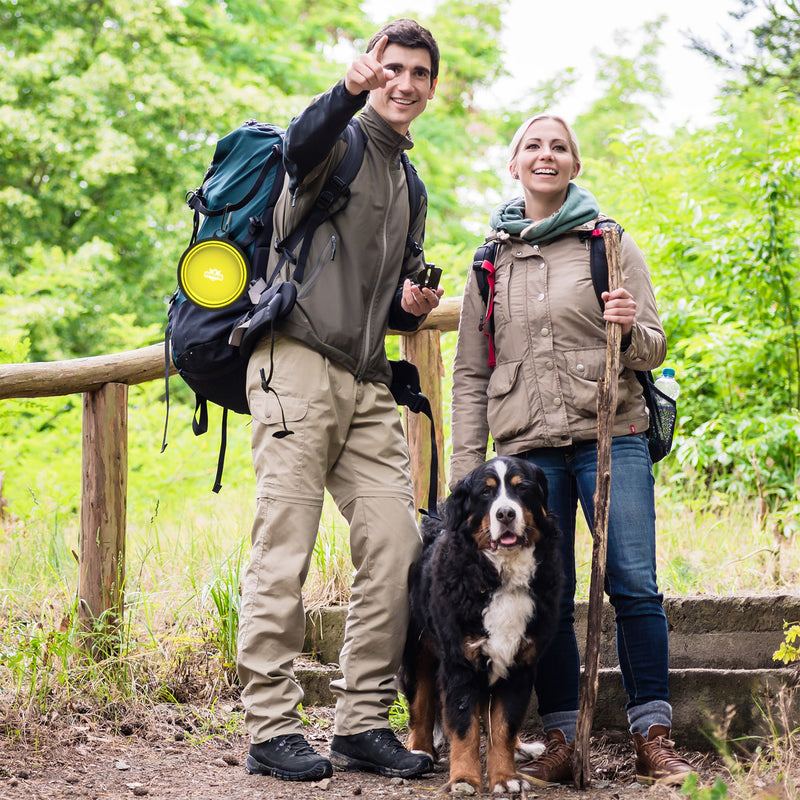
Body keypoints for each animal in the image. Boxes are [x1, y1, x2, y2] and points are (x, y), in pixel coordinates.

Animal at [400, 456, 564, 792]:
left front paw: (505, 778)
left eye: (521, 488)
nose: (505, 513)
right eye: (486, 494)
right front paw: (464, 778)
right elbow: (464, 729)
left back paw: (521, 748)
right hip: (418, 648)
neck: (500, 577)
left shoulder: (519, 664)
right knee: (420, 703)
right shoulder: (460, 663)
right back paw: (420, 749)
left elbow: (503, 726)